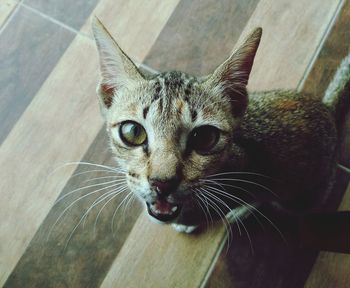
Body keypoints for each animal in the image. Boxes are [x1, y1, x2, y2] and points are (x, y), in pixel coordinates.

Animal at [91, 16, 350, 234]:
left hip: (302, 195)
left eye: (204, 137)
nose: (162, 184)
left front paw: (191, 218)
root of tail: (327, 109)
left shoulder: (253, 170)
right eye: (133, 132)